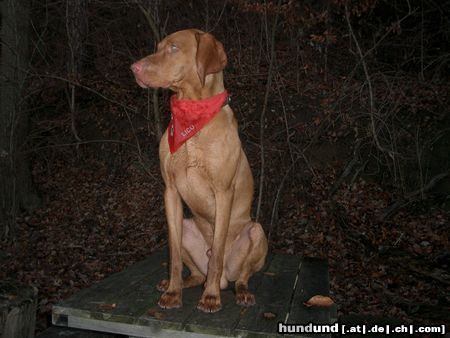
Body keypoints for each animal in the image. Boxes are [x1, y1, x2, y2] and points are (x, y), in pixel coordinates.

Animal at [130, 29, 268, 314]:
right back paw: (179, 283)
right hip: (185, 226)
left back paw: (239, 291)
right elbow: (172, 256)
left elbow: (216, 255)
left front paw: (211, 297)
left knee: (241, 275)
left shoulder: (223, 193)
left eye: (173, 47)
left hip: (256, 232)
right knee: (194, 273)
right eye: (158, 47)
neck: (193, 119)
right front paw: (173, 292)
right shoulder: (170, 192)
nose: (134, 68)